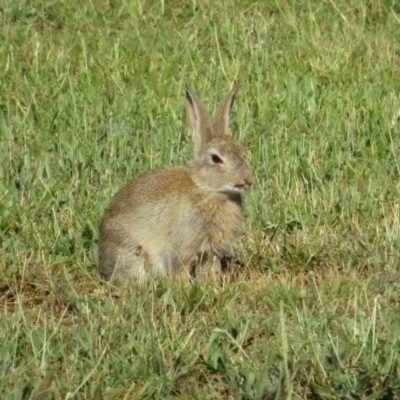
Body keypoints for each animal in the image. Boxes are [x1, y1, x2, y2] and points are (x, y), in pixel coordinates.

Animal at [97, 84, 252, 284]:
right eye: (216, 159)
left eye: (242, 152)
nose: (247, 179)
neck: (209, 190)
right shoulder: (183, 247)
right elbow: (181, 269)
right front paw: (185, 287)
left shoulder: (210, 252)